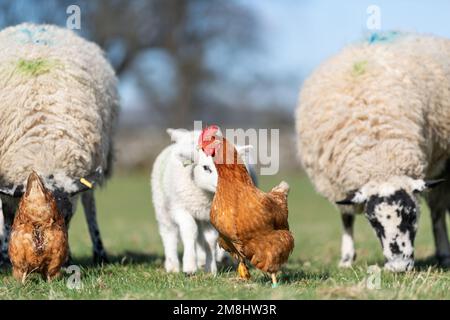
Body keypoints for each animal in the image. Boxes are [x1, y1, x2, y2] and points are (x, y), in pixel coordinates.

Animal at [0, 23, 118, 264]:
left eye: (67, 217)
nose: (60, 262)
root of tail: (35, 25)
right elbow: (7, 216)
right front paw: (5, 254)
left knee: (89, 202)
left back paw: (99, 252)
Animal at [152, 129, 255, 274]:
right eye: (206, 168)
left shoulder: (211, 217)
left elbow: (210, 240)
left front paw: (210, 269)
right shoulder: (179, 208)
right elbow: (190, 230)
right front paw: (189, 266)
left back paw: (201, 260)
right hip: (163, 207)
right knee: (169, 234)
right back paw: (172, 265)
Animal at [298, 32, 450, 272]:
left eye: (412, 215)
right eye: (373, 222)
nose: (399, 266)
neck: (380, 158)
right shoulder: (338, 187)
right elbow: (346, 219)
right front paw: (346, 259)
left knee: (437, 211)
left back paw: (443, 253)